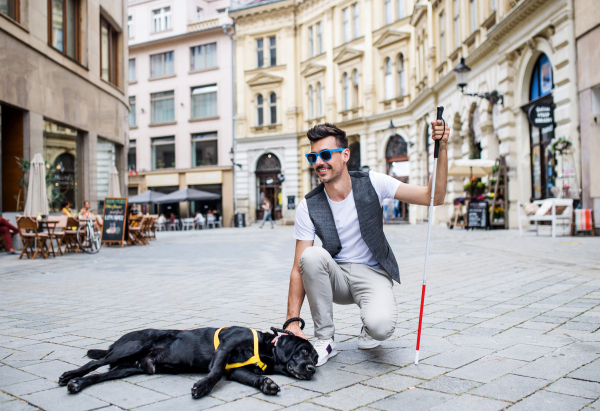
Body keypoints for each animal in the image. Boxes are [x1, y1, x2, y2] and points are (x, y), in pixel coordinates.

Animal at [58, 322, 316, 400]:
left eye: (316, 357)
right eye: (303, 351)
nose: (312, 369)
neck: (264, 349)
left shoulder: (236, 371)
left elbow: (253, 378)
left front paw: (267, 384)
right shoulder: (226, 348)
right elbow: (215, 372)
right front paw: (202, 387)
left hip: (127, 369)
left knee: (100, 375)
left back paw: (78, 384)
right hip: (130, 347)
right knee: (94, 363)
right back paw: (70, 376)